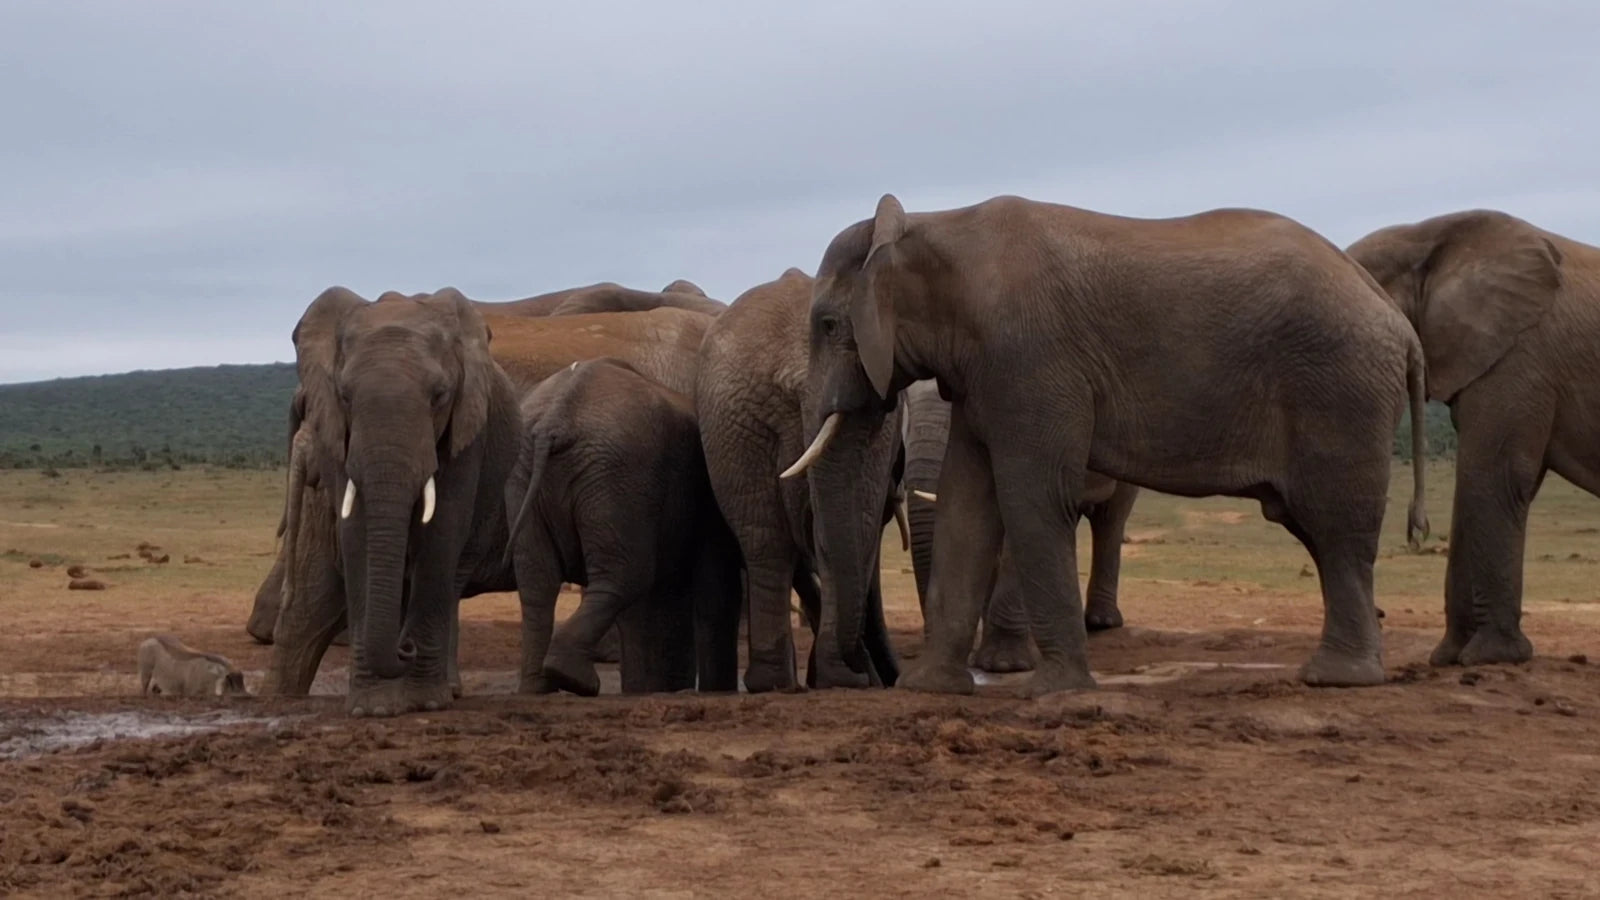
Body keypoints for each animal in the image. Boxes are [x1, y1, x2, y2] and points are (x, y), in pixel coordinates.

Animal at [291, 286, 522, 717]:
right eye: (344, 396)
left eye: (440, 396)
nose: (405, 648)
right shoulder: (336, 436)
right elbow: (357, 534)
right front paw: (373, 707)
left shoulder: (467, 433)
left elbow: (442, 531)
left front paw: (425, 702)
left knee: (452, 573)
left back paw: (445, 688)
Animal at [505, 357, 742, 697]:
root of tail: (555, 419)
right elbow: (710, 586)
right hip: (614, 474)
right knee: (627, 575)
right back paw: (575, 680)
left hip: (544, 473)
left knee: (538, 582)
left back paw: (541, 686)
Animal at [696, 267, 904, 692]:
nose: (887, 676)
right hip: (735, 419)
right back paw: (820, 678)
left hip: (731, 420)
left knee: (764, 536)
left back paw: (779, 681)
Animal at [1346, 209, 1600, 668]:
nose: (1382, 615)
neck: (1426, 235)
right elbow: (1476, 486)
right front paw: (1449, 658)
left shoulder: (1520, 356)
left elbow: (1493, 477)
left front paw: (1490, 657)